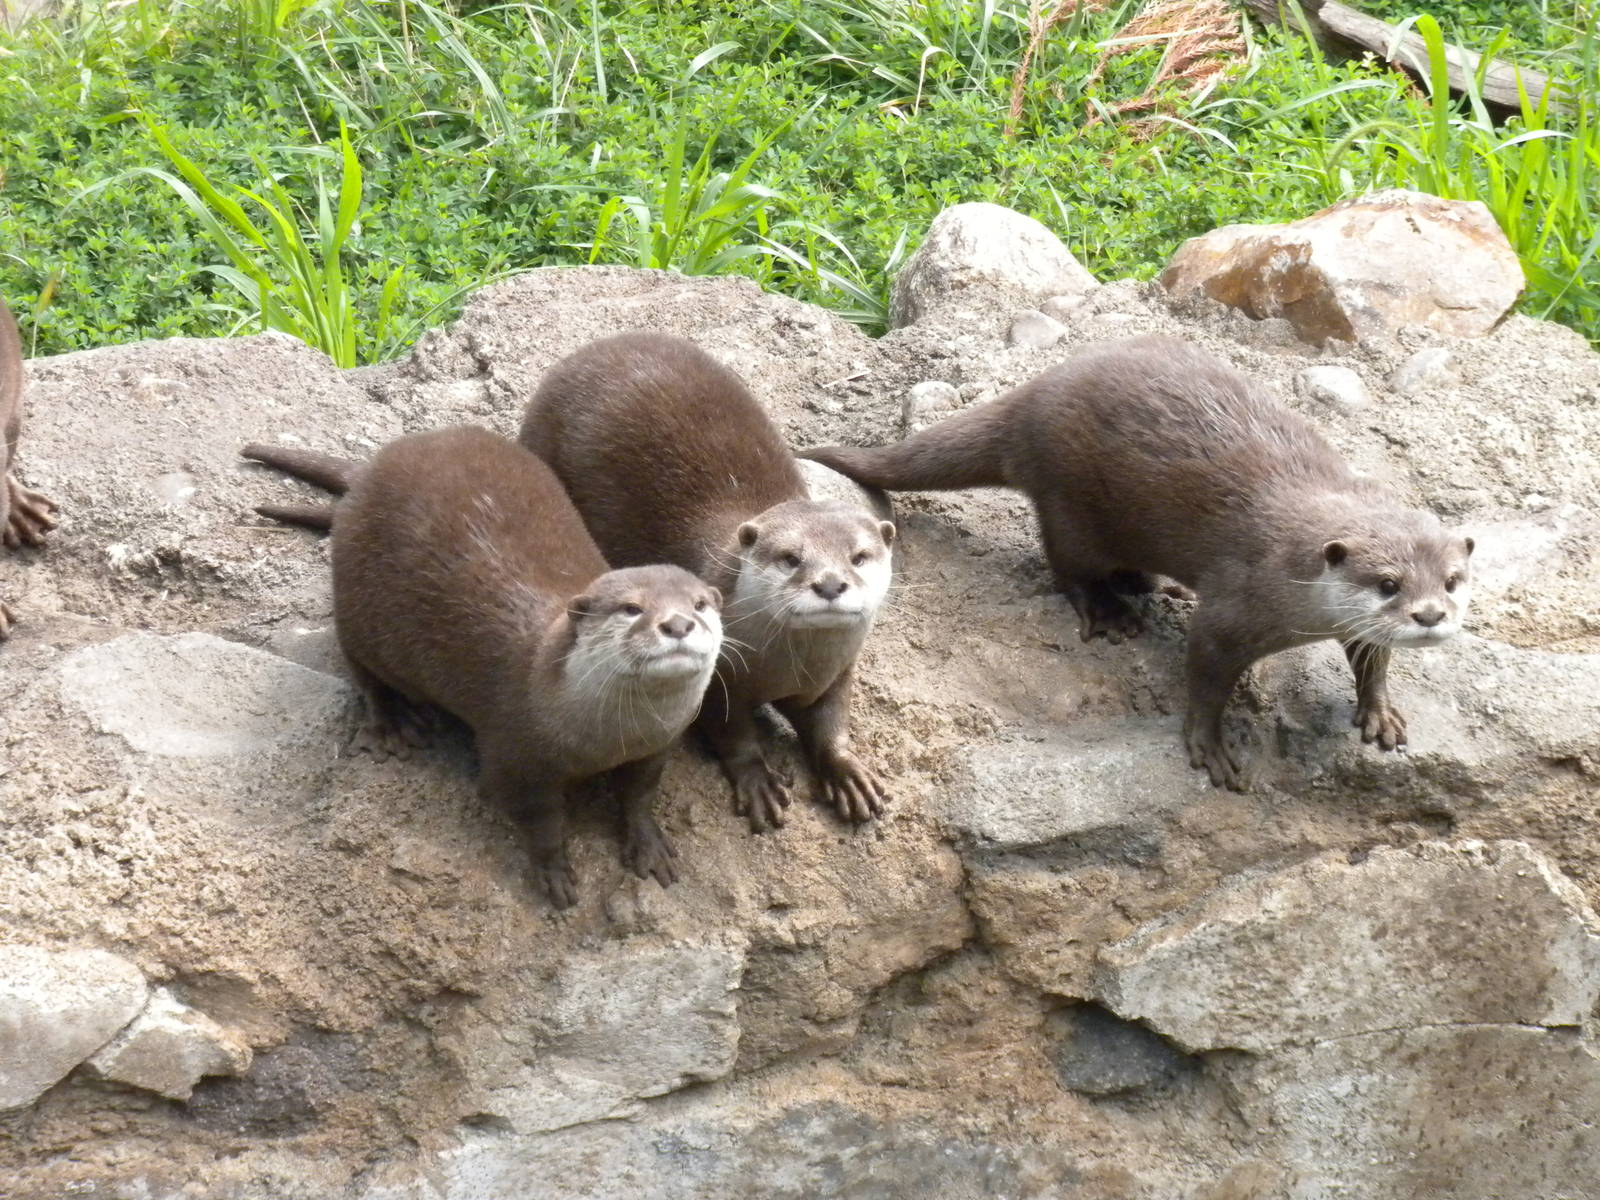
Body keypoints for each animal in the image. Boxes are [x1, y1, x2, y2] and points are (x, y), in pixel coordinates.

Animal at [242, 428, 724, 908]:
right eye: (631, 608)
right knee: (361, 667)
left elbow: (640, 793)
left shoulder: (659, 743)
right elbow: (540, 820)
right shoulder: (513, 757)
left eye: (699, 604)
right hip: (356, 601)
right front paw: (553, 872)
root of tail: (370, 467)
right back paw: (393, 722)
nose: (677, 623)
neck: (611, 737)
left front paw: (648, 844)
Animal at [517, 332, 897, 833]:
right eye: (791, 558)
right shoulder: (721, 681)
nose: (831, 584)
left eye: (859, 556)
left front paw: (848, 774)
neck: (792, 666)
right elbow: (732, 732)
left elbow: (831, 723)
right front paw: (757, 782)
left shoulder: (836, 673)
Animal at [803, 335, 1473, 790]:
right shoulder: (1233, 606)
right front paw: (1209, 747)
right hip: (1073, 501)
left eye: (1452, 580)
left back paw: (1153, 584)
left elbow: (1372, 658)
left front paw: (1379, 712)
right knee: (1067, 564)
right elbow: (1205, 677)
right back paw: (1111, 612)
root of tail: (1034, 396)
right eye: (1387, 583)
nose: (1430, 616)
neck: (1294, 577)